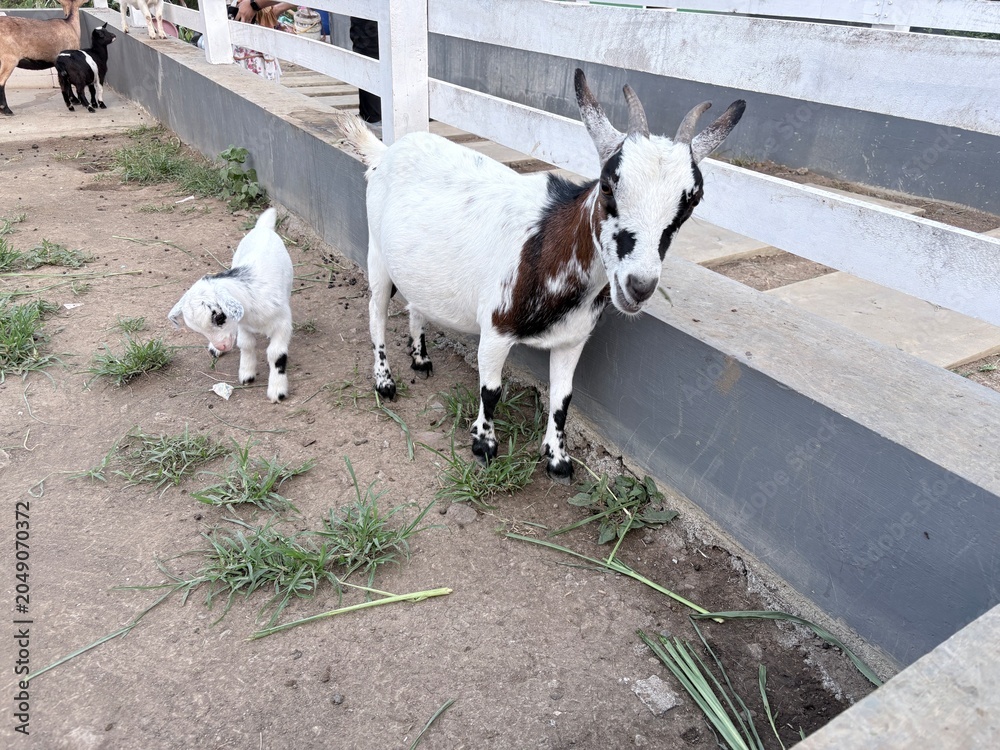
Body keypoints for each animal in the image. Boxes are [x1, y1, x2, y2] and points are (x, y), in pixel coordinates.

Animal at [168, 208, 293, 403]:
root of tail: (262, 228)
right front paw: (247, 373)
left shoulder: (283, 323)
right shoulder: (242, 324)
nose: (222, 346)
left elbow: (276, 354)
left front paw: (277, 390)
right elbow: (246, 344)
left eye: (219, 317)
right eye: (197, 330)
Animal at [338, 69, 744, 482]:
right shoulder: (495, 330)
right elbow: (491, 391)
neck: (548, 244)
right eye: (607, 184)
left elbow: (563, 399)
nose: (640, 286)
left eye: (692, 201)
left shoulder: (572, 340)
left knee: (417, 305)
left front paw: (558, 459)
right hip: (377, 256)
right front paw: (484, 445)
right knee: (375, 314)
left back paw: (420, 359)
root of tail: (385, 153)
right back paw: (384, 381)